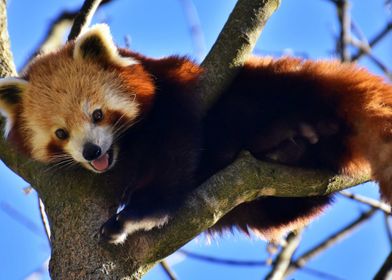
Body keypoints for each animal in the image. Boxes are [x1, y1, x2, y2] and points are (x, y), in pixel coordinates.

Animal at [0, 24, 388, 244]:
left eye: (97, 114)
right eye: (61, 133)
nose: (91, 151)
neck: (127, 147)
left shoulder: (174, 95)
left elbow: (172, 160)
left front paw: (136, 217)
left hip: (261, 88)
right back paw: (290, 147)